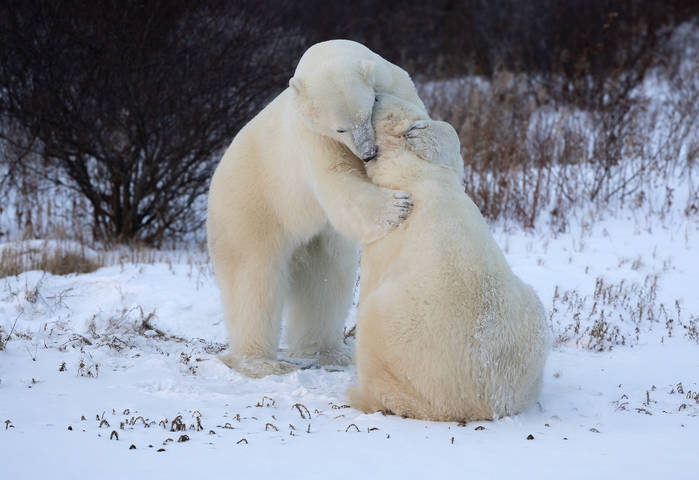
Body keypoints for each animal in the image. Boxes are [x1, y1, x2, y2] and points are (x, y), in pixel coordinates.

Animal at [205, 40, 430, 378]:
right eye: (340, 129)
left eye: (368, 113)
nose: (368, 153)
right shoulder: (310, 137)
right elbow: (337, 180)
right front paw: (397, 207)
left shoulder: (396, 82)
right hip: (251, 208)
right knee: (253, 280)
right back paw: (262, 362)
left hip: (316, 240)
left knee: (325, 282)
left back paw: (328, 353)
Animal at [350, 95, 552, 422]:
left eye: (379, 106)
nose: (377, 95)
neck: (414, 176)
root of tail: (482, 398)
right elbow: (455, 159)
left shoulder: (384, 238)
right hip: (529, 321)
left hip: (397, 330)